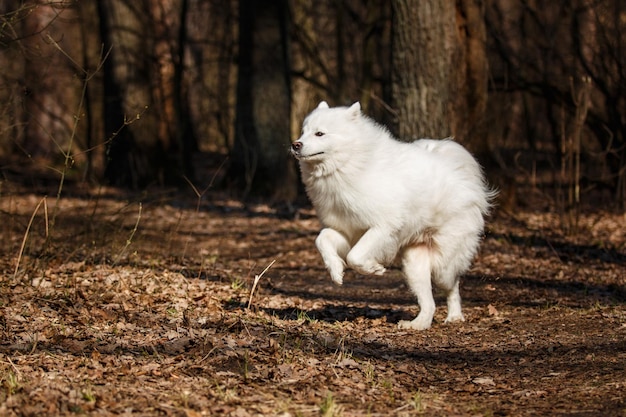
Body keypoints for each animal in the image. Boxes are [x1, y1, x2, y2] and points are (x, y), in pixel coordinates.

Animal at [288, 100, 492, 328]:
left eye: (320, 133)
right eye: (303, 132)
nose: (296, 144)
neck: (350, 165)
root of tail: (460, 171)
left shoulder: (383, 227)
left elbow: (355, 256)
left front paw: (374, 269)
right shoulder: (347, 231)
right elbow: (322, 240)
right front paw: (336, 271)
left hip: (443, 263)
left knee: (452, 285)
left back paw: (454, 316)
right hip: (414, 264)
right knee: (429, 303)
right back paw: (417, 324)